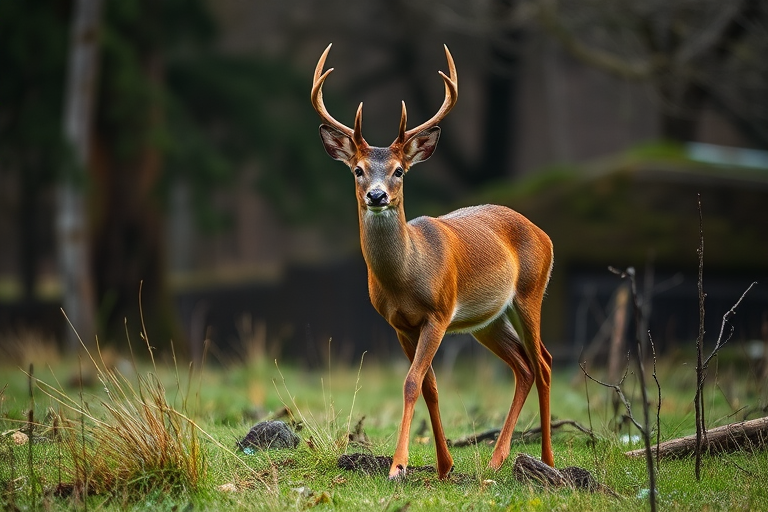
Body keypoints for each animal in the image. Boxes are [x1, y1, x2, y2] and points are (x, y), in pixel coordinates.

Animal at [311, 43, 554, 480]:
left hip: (530, 293)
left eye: (399, 171)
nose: (376, 195)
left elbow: (411, 383)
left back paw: (546, 459)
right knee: (524, 366)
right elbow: (429, 385)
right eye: (357, 170)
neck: (407, 277)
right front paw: (443, 466)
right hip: (487, 320)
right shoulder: (399, 324)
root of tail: (543, 234)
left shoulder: (438, 314)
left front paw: (398, 466)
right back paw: (497, 458)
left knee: (543, 362)